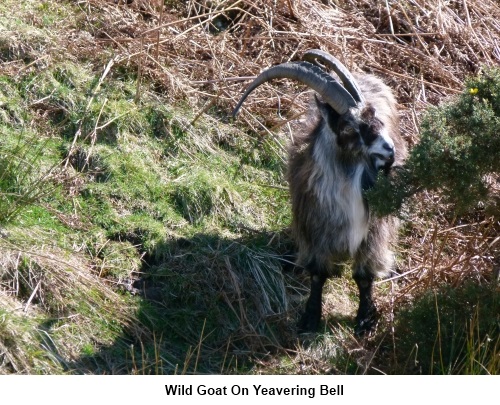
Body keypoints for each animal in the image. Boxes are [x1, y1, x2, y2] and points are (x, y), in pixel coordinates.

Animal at [232, 49, 408, 332]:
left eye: (375, 117)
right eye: (348, 127)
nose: (389, 151)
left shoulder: (373, 231)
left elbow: (364, 276)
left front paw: (365, 319)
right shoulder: (314, 225)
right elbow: (317, 274)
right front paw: (310, 318)